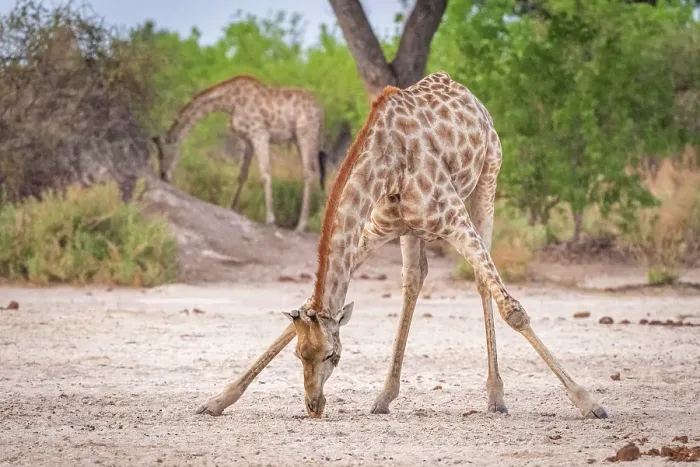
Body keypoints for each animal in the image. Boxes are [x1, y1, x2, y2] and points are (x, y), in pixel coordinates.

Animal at [152, 75, 327, 232]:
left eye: (163, 154)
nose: (163, 176)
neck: (230, 101)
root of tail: (320, 110)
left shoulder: (259, 133)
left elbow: (265, 173)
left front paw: (270, 220)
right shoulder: (247, 139)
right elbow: (242, 175)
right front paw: (230, 208)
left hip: (305, 133)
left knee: (309, 173)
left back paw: (301, 226)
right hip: (299, 138)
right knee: (311, 172)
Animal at [195, 71, 608, 420]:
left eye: (334, 355)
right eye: (300, 355)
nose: (314, 407)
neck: (387, 164)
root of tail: (470, 96)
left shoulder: (452, 217)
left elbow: (514, 311)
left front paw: (588, 402)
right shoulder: (377, 226)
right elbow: (306, 306)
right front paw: (217, 400)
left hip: (487, 180)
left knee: (481, 281)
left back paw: (495, 396)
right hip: (411, 229)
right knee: (413, 280)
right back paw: (384, 396)